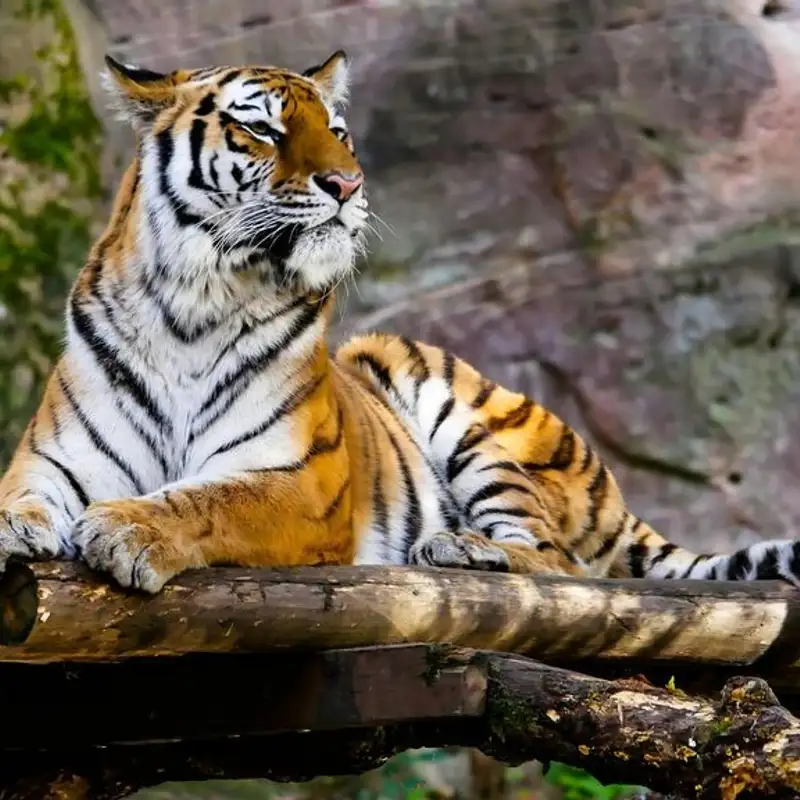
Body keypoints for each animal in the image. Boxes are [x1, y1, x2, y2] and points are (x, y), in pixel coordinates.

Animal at [0, 50, 798, 596]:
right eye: (264, 130)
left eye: (339, 133)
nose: (347, 184)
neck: (195, 305)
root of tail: (614, 492)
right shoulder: (51, 459)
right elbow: (20, 492)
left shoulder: (297, 480)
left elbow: (209, 499)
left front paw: (127, 526)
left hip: (459, 410)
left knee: (562, 561)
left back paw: (462, 547)